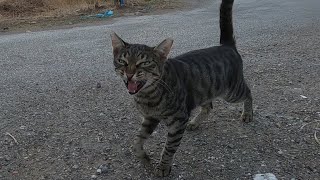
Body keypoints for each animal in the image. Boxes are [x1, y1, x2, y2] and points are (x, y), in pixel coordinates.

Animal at [110, 0, 252, 177]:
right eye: (122, 61)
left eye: (144, 63)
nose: (129, 74)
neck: (147, 96)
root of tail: (226, 46)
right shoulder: (150, 118)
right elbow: (136, 141)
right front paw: (144, 158)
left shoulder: (178, 120)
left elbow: (169, 147)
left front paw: (163, 166)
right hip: (203, 92)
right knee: (209, 106)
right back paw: (195, 122)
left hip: (232, 92)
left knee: (248, 92)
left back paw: (247, 113)